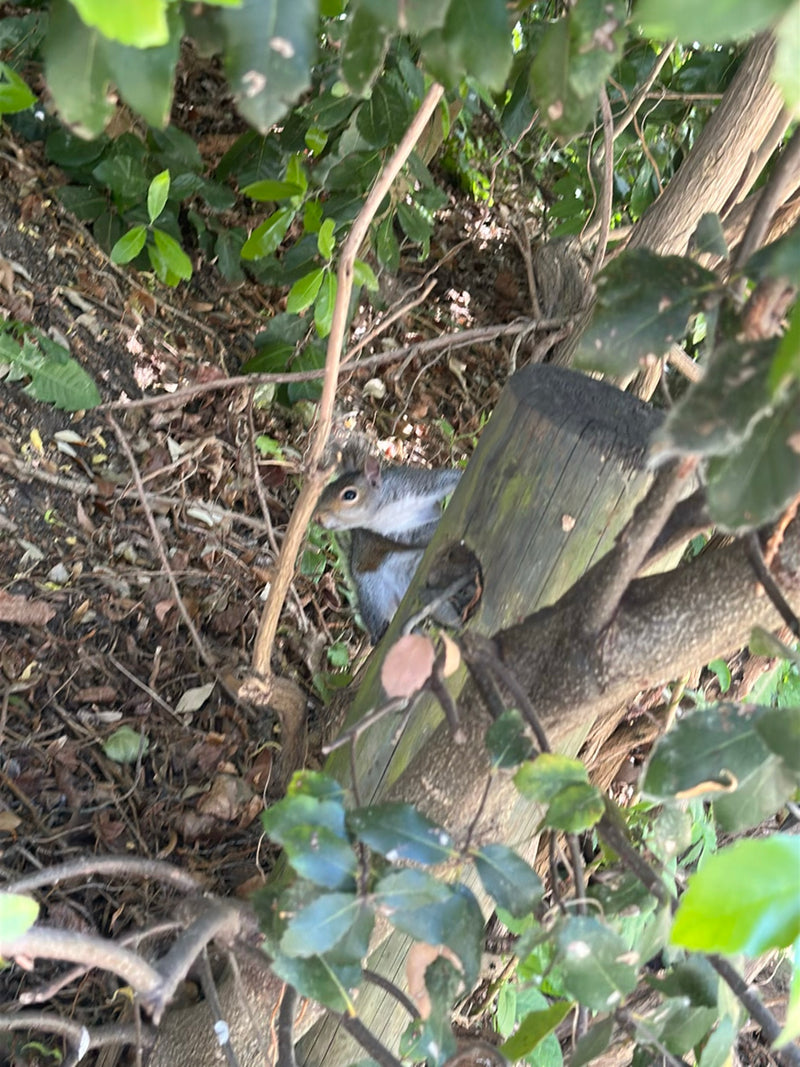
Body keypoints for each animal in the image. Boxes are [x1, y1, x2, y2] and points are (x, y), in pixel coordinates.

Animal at [315, 455, 462, 642]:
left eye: (349, 495)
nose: (317, 517)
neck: (384, 510)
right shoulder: (391, 533)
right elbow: (417, 536)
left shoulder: (416, 483)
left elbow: (447, 478)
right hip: (373, 589)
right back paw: (382, 632)